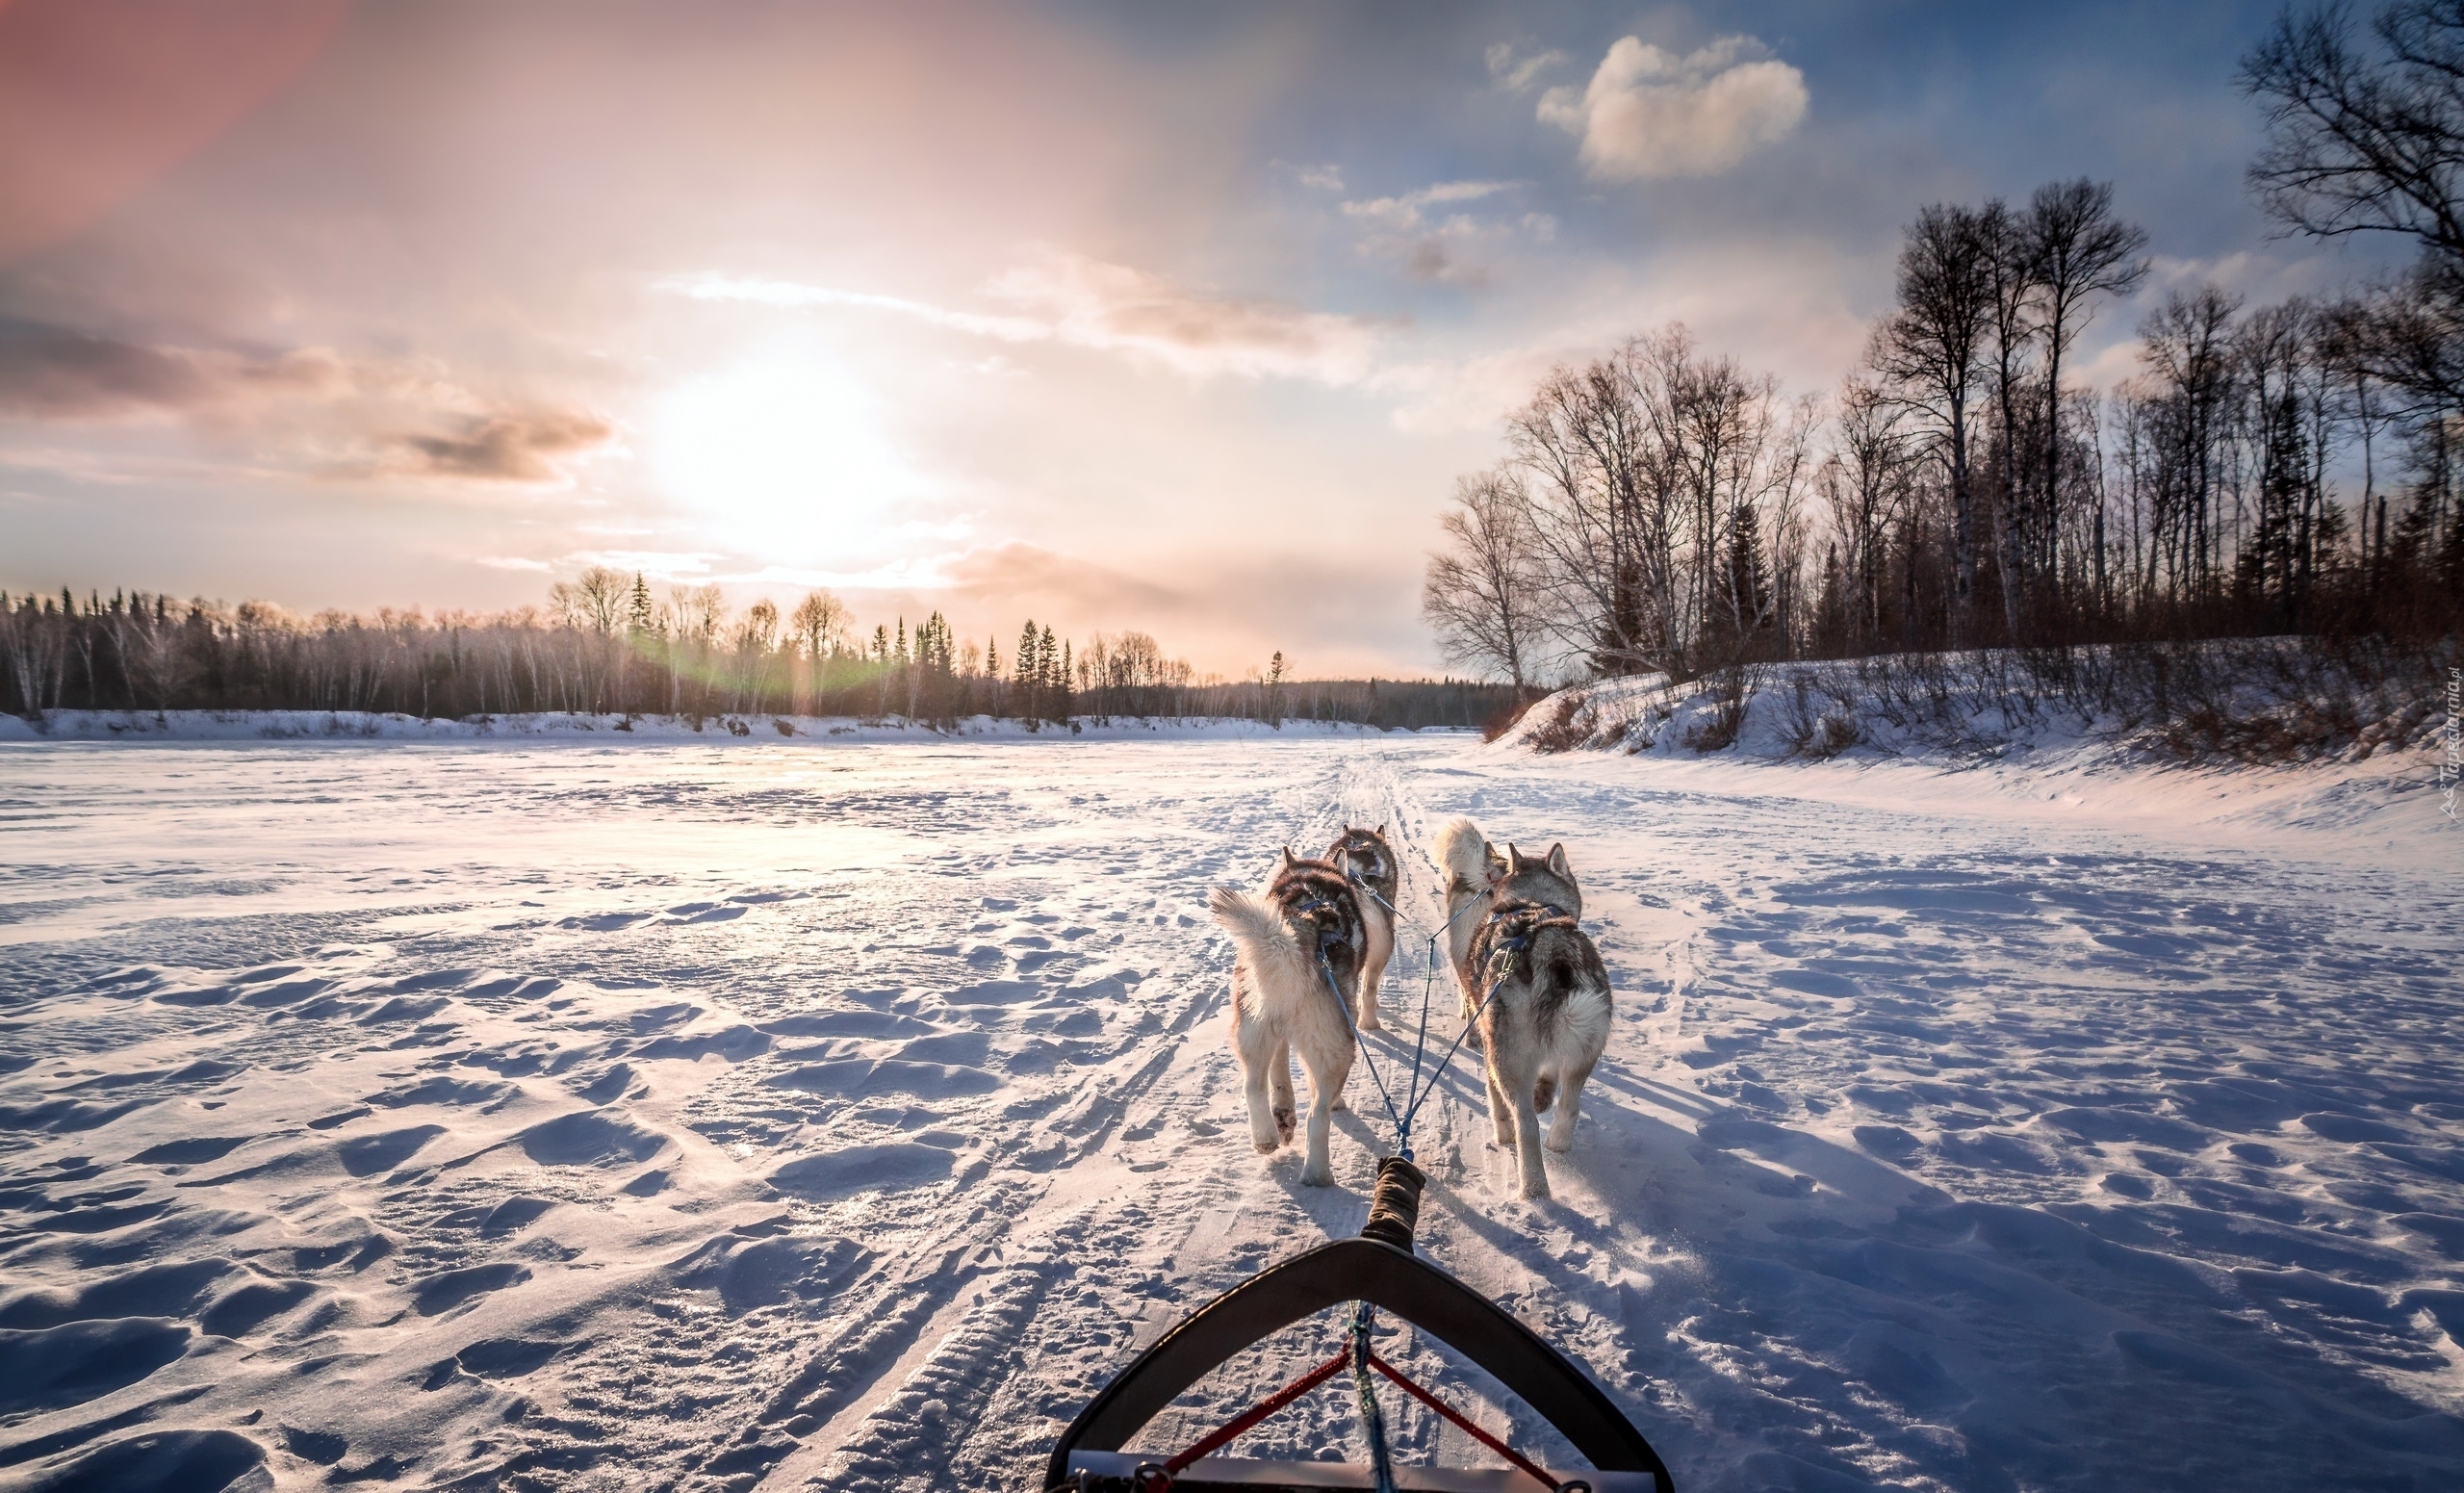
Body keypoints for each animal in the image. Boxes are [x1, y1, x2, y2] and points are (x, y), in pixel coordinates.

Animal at [1197, 852, 1360, 1192]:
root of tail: (1294, 945)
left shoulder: (1276, 1033)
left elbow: (1279, 1072)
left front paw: (1282, 1109)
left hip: (1253, 1030)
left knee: (1253, 1086)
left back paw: (1267, 1137)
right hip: (1338, 1050)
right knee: (1317, 1115)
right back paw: (1318, 1174)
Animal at [1439, 817, 1606, 1207]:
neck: (1534, 904)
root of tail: (1551, 948)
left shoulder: (1490, 1044)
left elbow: (1496, 1101)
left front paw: (1501, 1133)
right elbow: (1549, 1080)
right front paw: (1544, 1093)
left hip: (1507, 1059)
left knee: (1524, 1123)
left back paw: (1533, 1187)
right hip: (1585, 1050)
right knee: (1570, 1104)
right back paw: (1557, 1141)